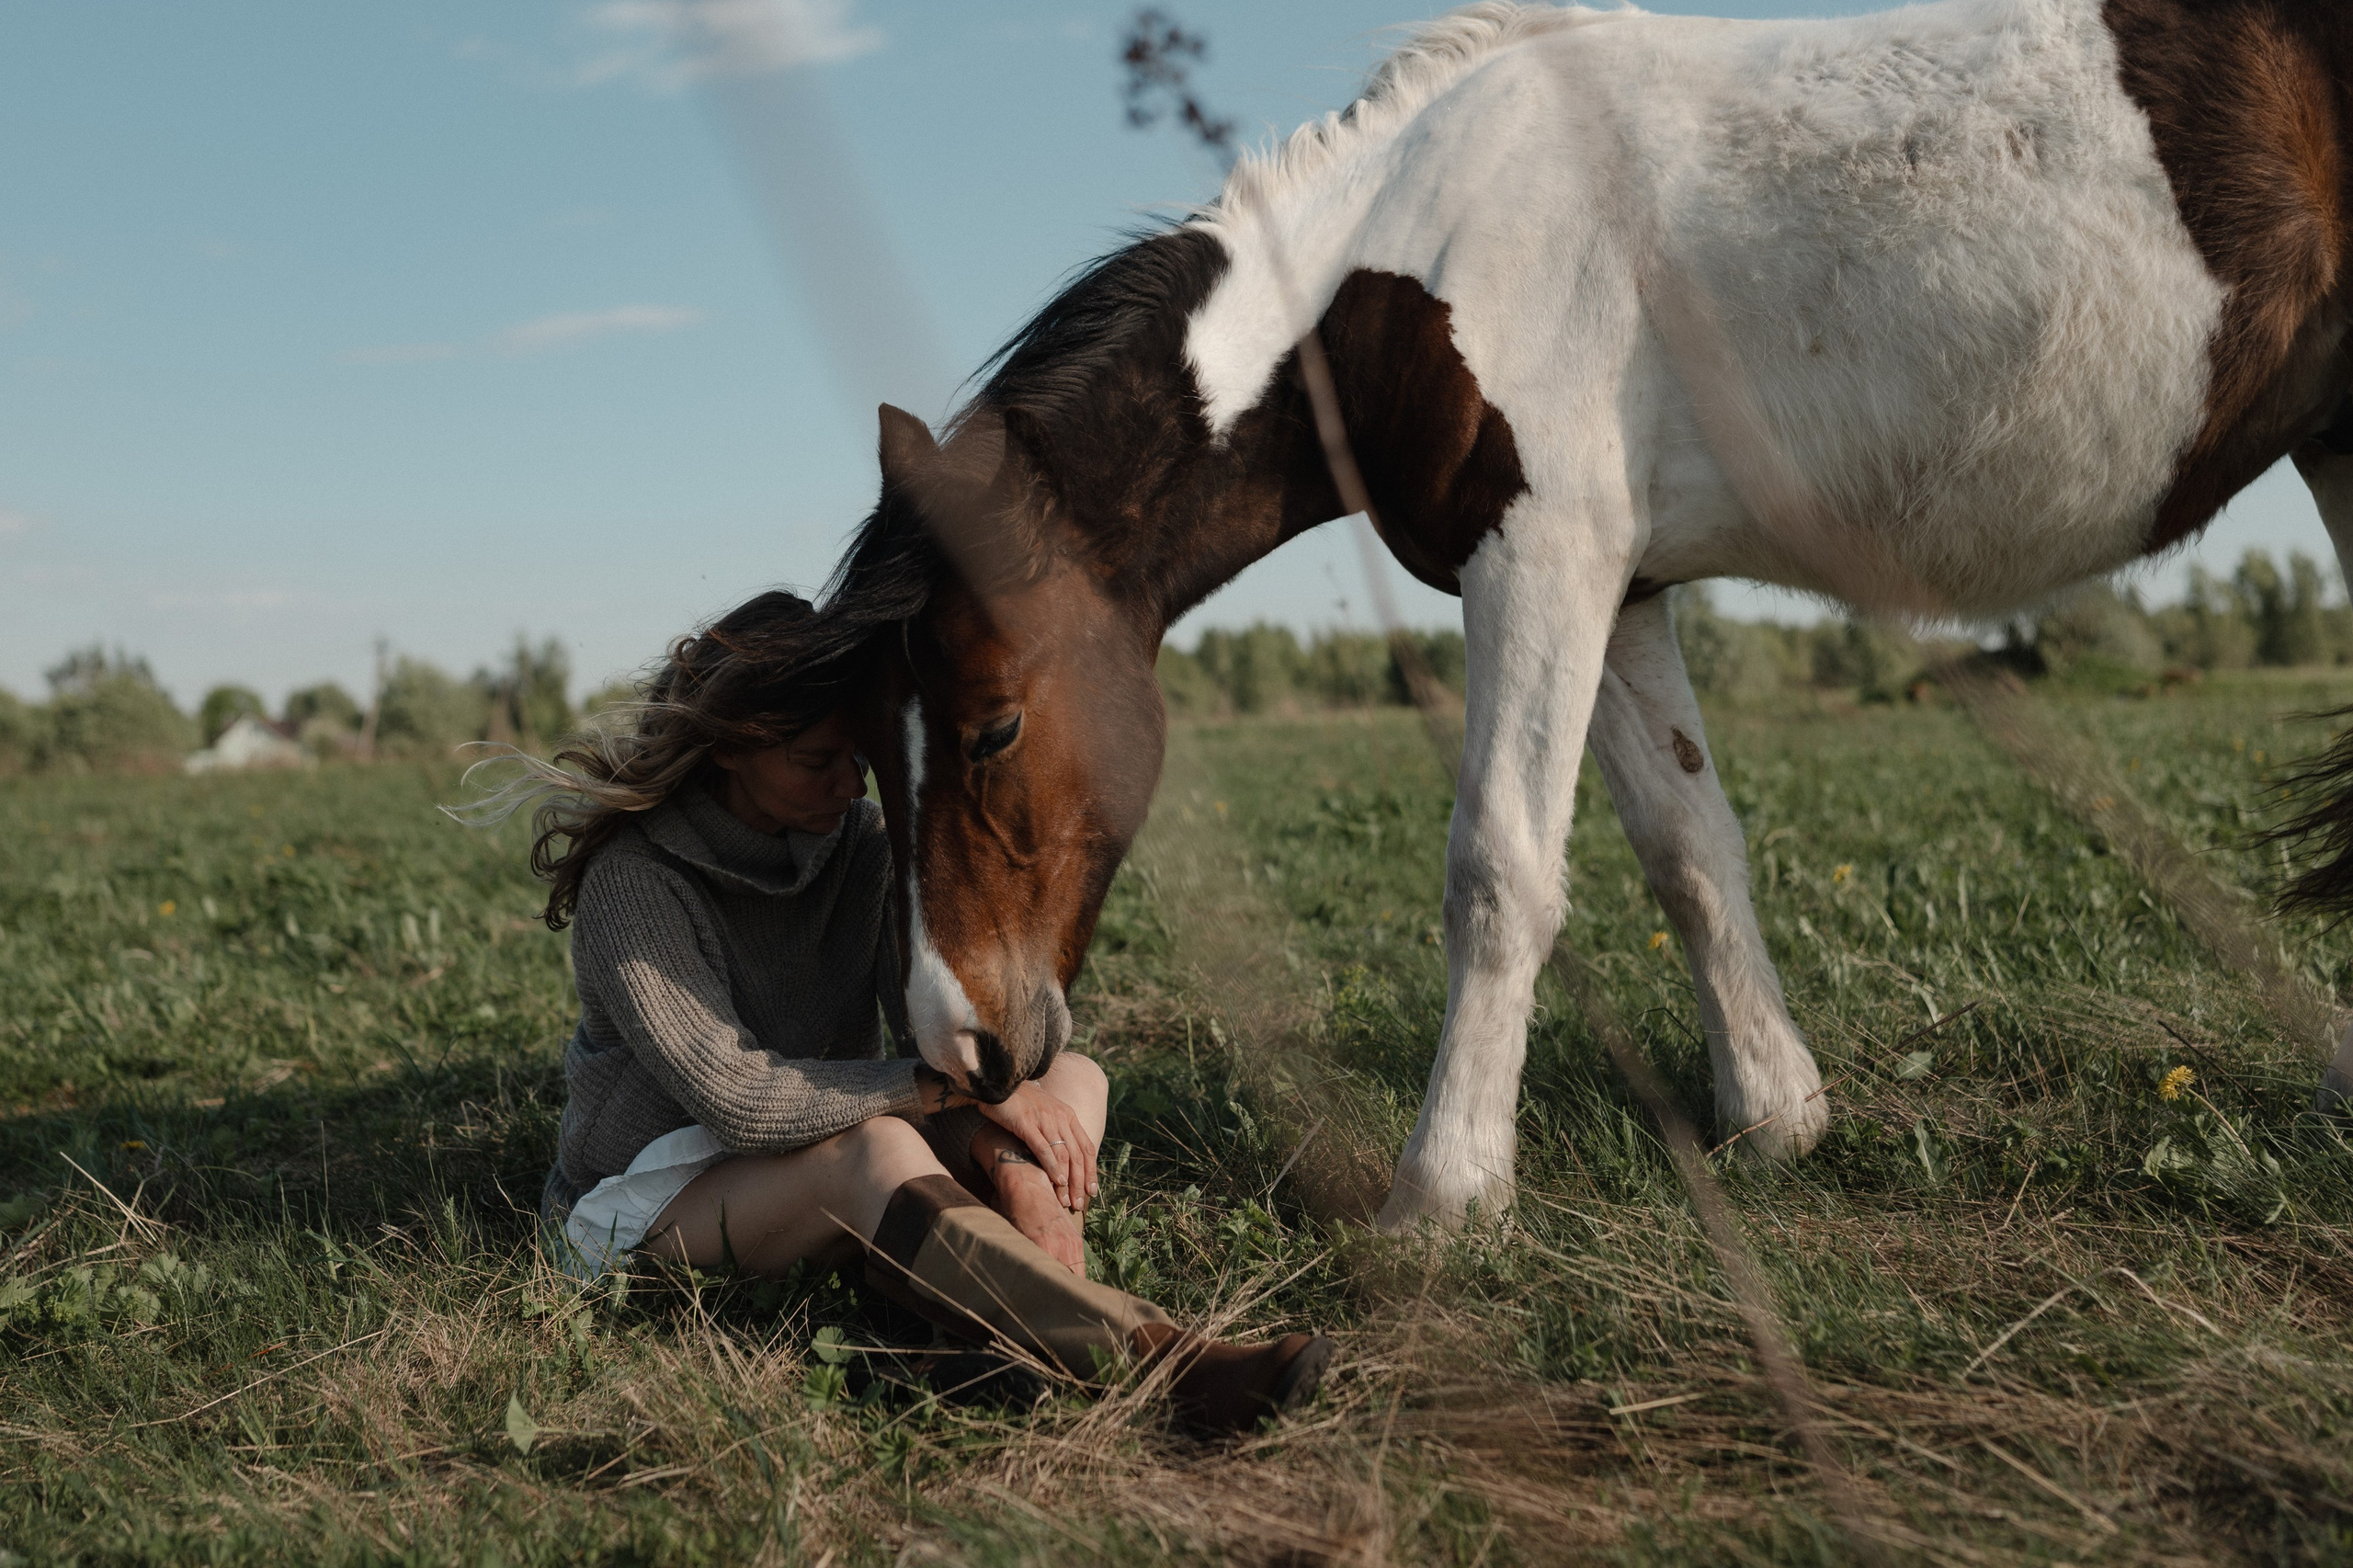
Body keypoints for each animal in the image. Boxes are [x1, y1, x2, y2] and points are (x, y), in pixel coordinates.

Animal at [821, 0, 2353, 1229]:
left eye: (992, 725)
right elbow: (1691, 850)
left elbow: (1501, 869)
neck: (1408, 252)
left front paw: (1445, 1193)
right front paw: (1773, 1116)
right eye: (872, 745)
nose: (958, 1045)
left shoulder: (1540, 560)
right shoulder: (1623, 594)